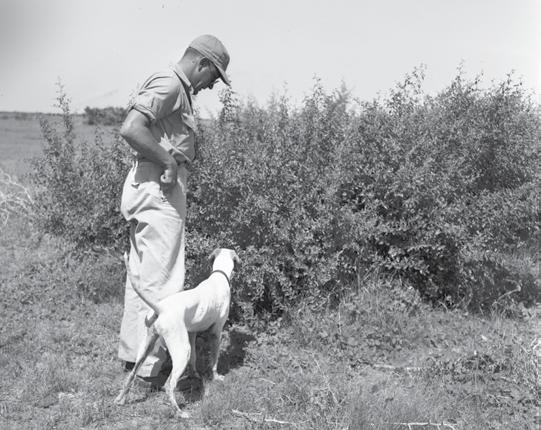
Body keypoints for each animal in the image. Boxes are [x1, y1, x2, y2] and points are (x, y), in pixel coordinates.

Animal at [114, 248, 240, 417]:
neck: (219, 276)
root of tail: (161, 309)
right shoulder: (216, 332)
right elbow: (214, 360)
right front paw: (216, 377)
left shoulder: (192, 333)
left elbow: (194, 359)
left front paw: (194, 375)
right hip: (181, 351)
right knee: (169, 385)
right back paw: (180, 412)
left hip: (146, 348)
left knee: (131, 375)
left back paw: (120, 399)